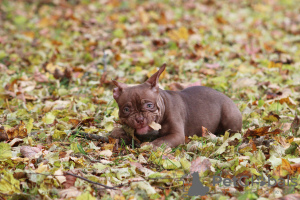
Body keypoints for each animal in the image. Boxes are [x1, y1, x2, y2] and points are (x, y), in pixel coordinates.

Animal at [110, 64, 241, 148]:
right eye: (126, 109)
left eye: (149, 105)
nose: (139, 118)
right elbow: (118, 131)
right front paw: (118, 132)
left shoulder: (176, 135)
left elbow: (161, 140)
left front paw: (150, 146)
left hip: (229, 114)